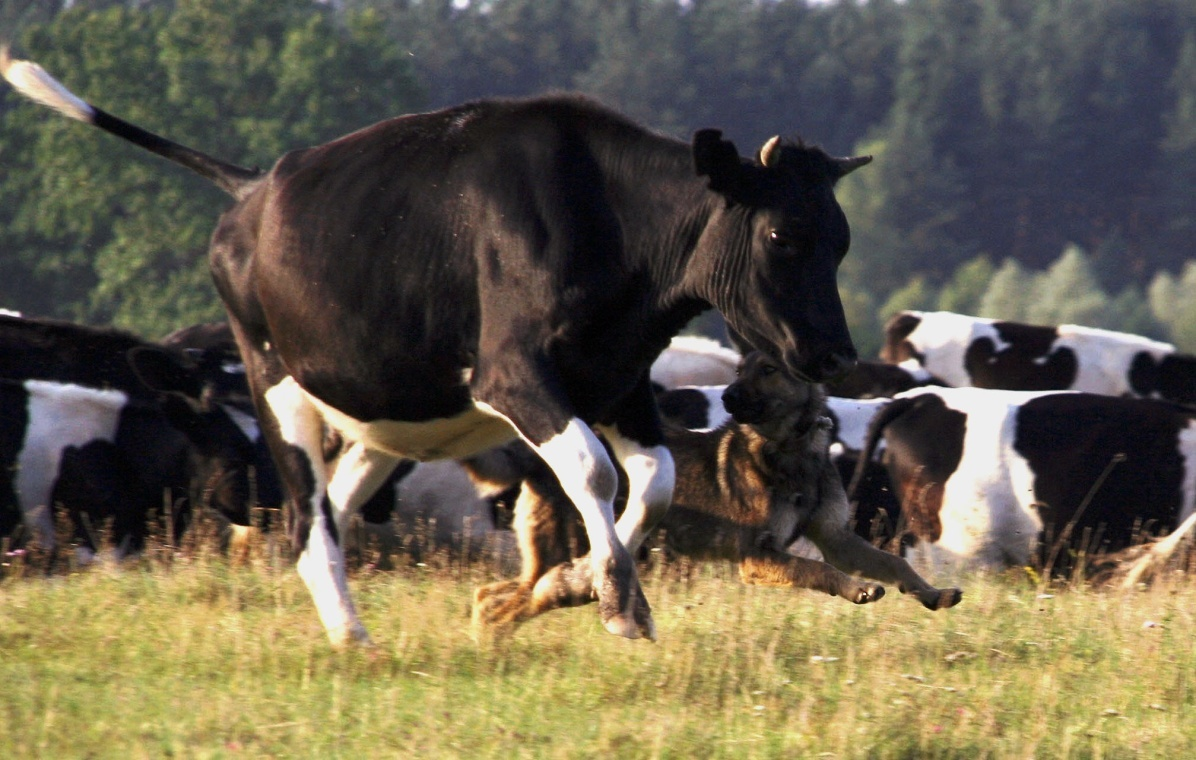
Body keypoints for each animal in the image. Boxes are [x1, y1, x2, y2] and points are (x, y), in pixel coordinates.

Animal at [2, 50, 870, 646]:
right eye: (782, 235)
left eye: (841, 240)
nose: (833, 356)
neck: (609, 224)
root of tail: (253, 188)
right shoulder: (513, 374)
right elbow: (592, 469)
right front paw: (616, 601)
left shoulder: (618, 379)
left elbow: (652, 483)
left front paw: (578, 583)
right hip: (273, 378)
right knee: (307, 519)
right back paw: (351, 636)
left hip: (387, 415)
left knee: (338, 502)